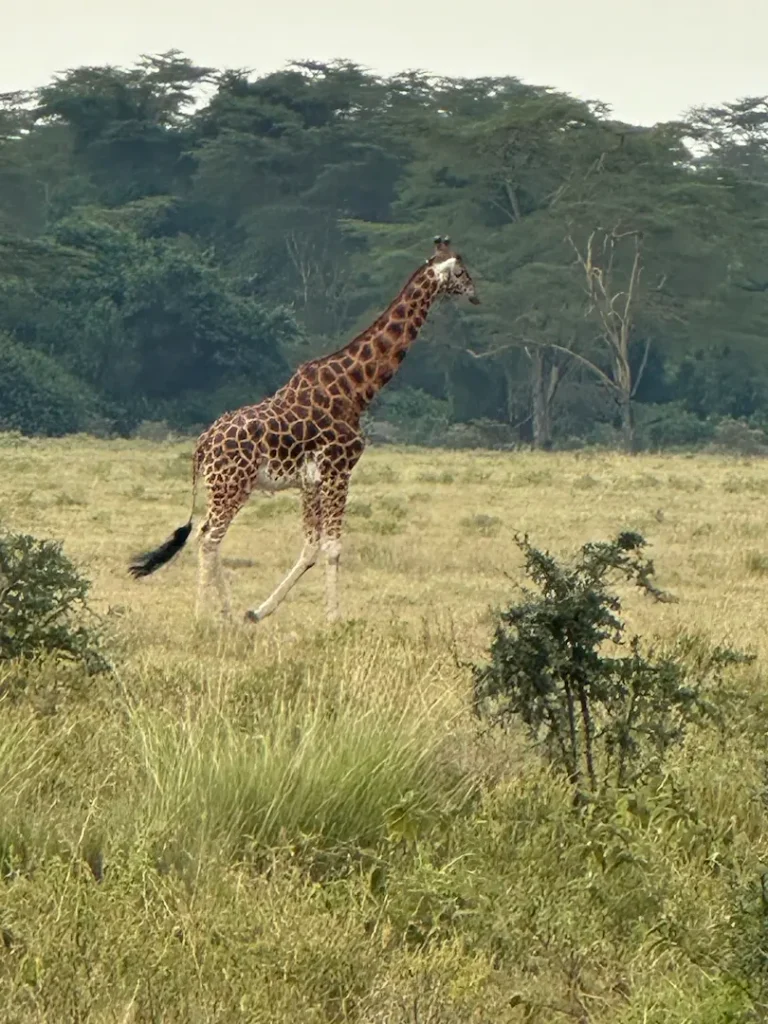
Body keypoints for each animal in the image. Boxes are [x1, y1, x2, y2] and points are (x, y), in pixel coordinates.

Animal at [128, 236, 480, 623]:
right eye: (461, 272)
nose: (476, 295)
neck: (357, 389)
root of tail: (202, 444)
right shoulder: (338, 469)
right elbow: (333, 546)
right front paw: (334, 620)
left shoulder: (310, 479)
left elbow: (310, 546)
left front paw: (257, 612)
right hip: (231, 484)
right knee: (209, 538)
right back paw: (202, 616)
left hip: (222, 486)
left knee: (206, 534)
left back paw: (228, 612)